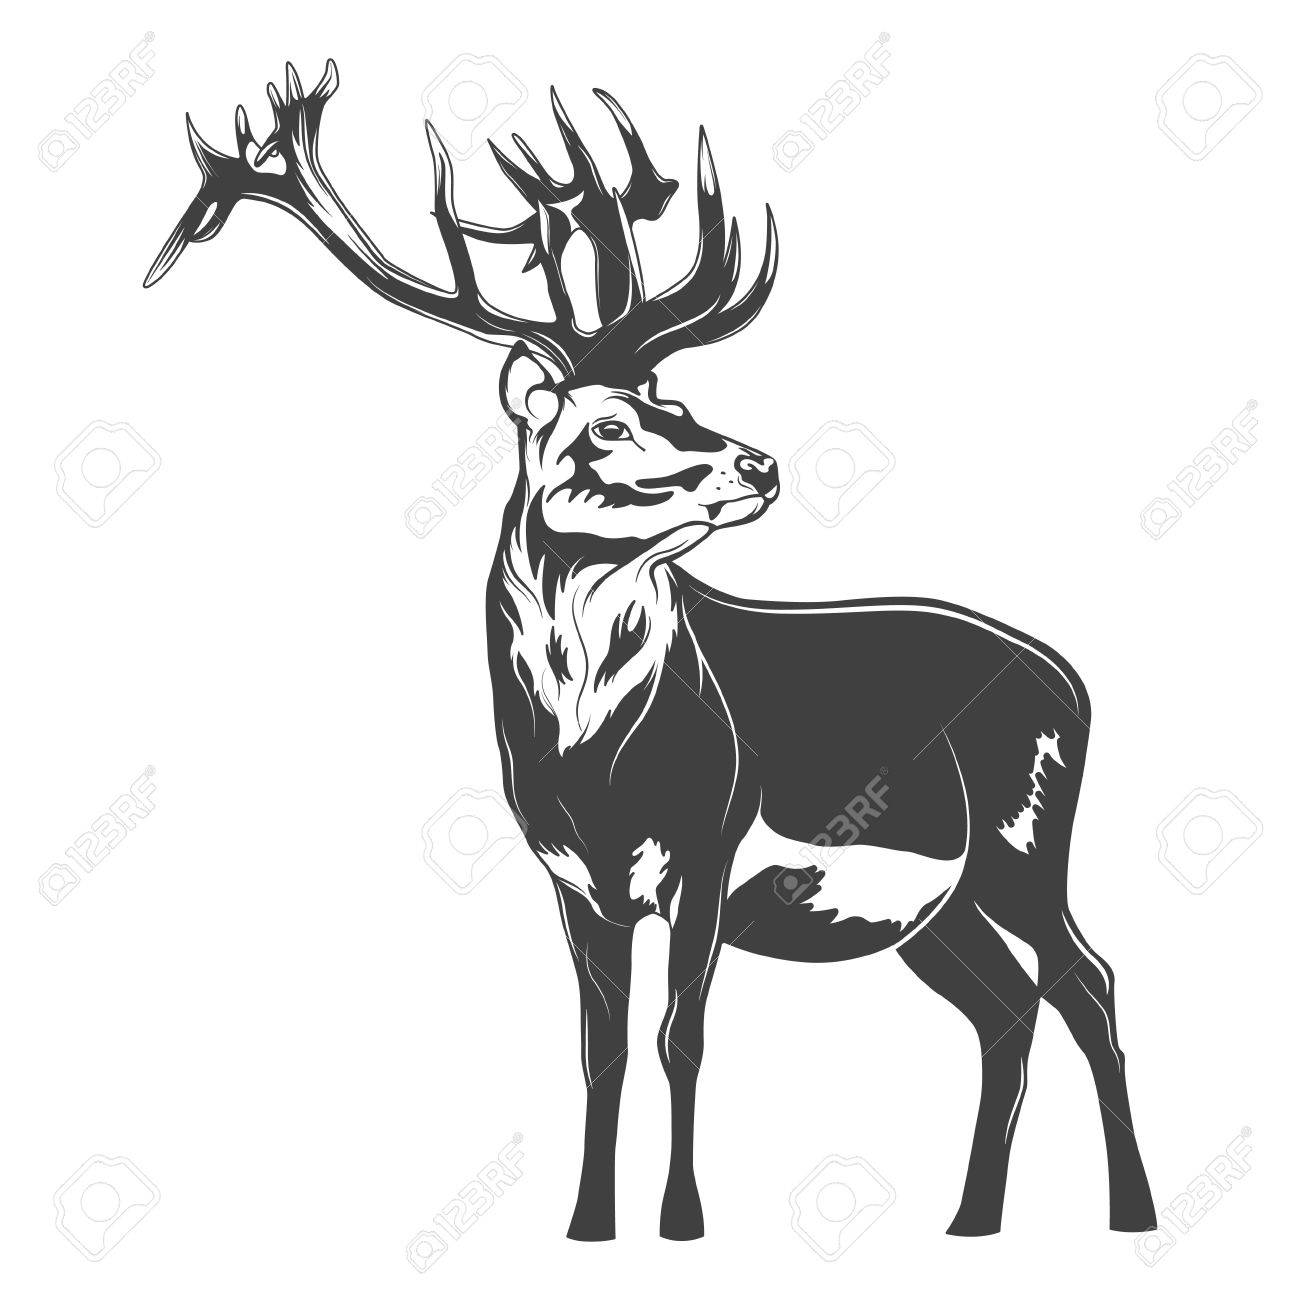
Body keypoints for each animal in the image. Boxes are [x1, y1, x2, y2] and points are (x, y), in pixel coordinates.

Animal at [145, 60, 1157, 1242]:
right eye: (608, 426)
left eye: (671, 400)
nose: (760, 464)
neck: (594, 763)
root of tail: (1071, 681)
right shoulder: (573, 878)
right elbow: (604, 1049)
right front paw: (589, 1221)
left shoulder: (708, 846)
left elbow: (683, 1037)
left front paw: (682, 1220)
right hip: (934, 906)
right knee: (1005, 1005)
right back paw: (971, 1220)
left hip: (1021, 840)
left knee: (1086, 978)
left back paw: (1131, 1209)